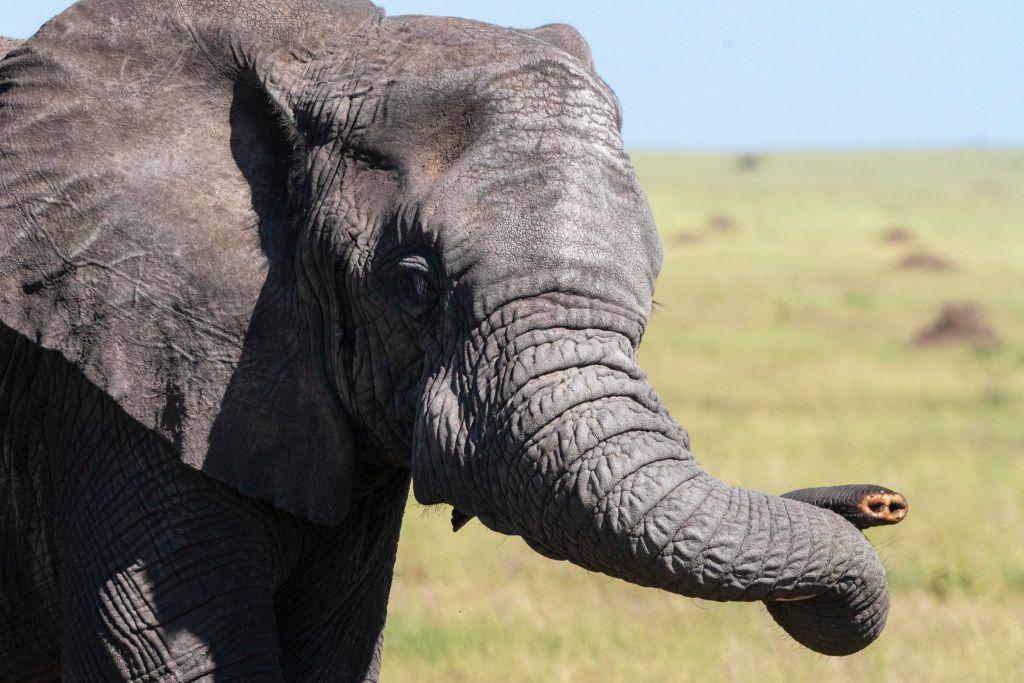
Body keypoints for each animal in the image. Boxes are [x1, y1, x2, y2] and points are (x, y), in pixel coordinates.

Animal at [0, 1, 908, 680]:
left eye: (653, 286)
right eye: (413, 282)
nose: (882, 502)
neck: (319, 45)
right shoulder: (119, 361)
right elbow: (170, 661)